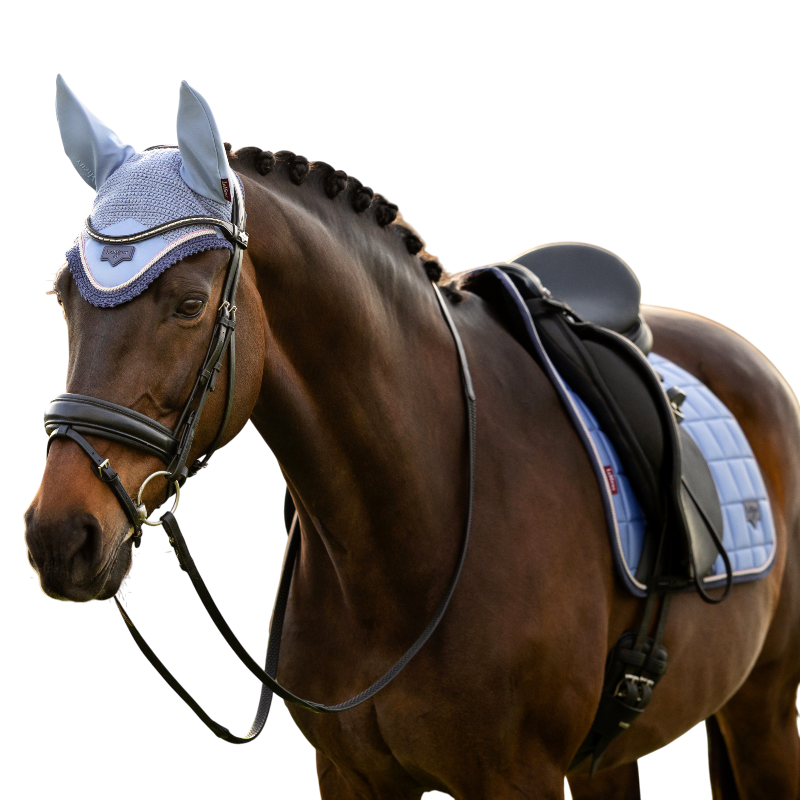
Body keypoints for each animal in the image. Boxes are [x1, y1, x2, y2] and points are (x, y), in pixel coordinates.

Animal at [25, 87, 799, 799]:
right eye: (61, 295)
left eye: (188, 304)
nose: (61, 535)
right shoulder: (351, 776)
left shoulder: (518, 777)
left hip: (765, 710)